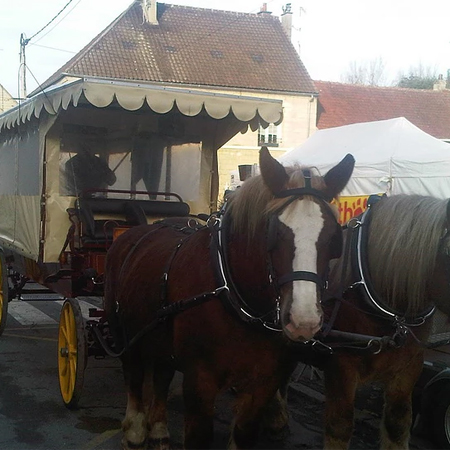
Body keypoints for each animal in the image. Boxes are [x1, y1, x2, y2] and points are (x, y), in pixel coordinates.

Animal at [103, 146, 356, 448]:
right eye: (273, 234)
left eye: (333, 237)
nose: (303, 321)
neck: (236, 299)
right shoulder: (199, 383)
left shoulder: (263, 384)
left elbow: (244, 432)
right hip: (124, 331)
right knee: (133, 374)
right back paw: (136, 430)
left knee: (162, 374)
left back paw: (159, 430)